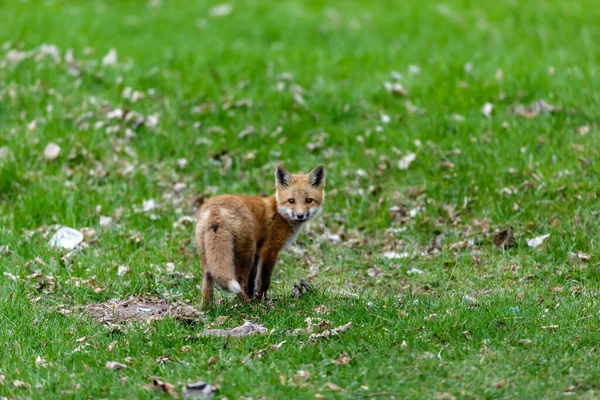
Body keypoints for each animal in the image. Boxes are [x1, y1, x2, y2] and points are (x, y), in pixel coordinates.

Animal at [195, 164, 326, 308]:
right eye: (291, 201)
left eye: (309, 200)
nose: (300, 215)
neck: (279, 212)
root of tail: (216, 209)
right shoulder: (269, 249)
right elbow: (264, 280)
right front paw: (261, 300)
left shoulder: (258, 252)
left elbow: (252, 281)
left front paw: (255, 298)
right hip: (246, 254)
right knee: (239, 282)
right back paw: (248, 307)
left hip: (209, 254)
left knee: (208, 279)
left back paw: (207, 308)